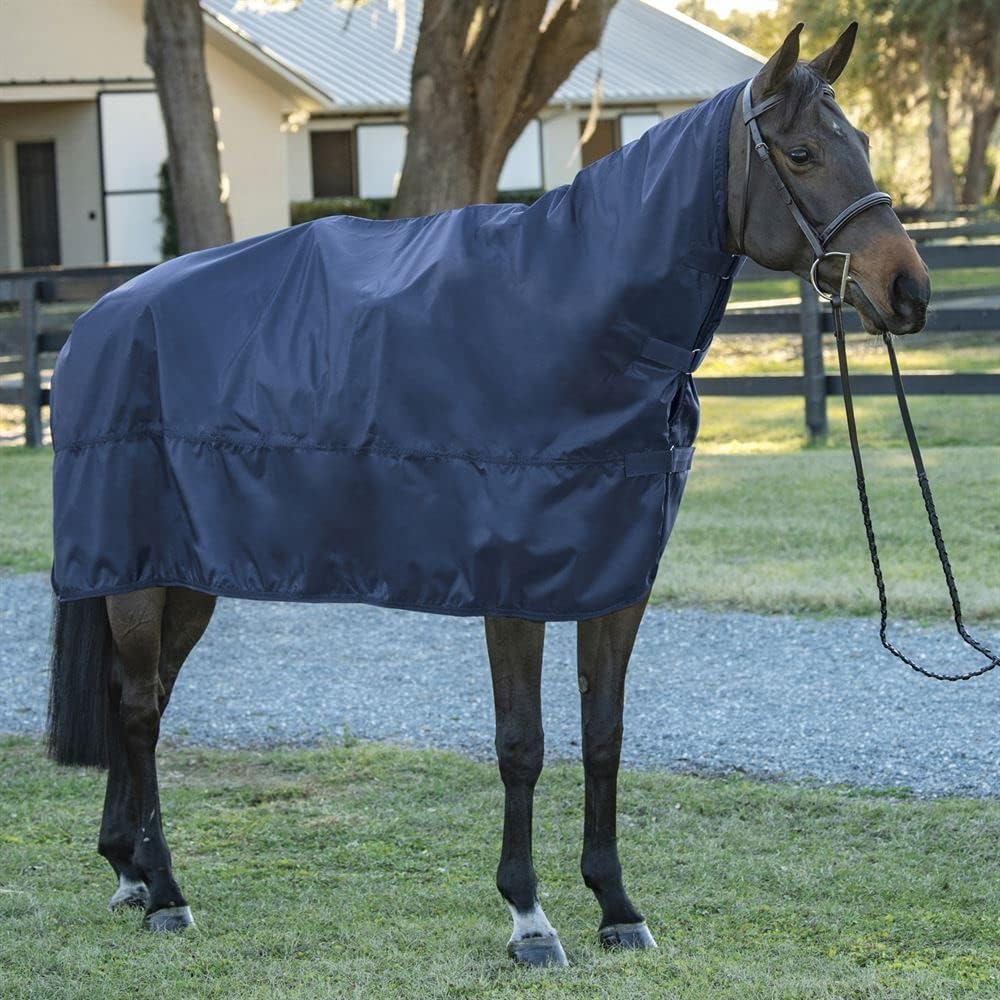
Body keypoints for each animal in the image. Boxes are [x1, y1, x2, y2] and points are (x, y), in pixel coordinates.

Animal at [46, 22, 929, 966]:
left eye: (861, 140)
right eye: (801, 153)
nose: (908, 290)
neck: (573, 311)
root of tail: (97, 319)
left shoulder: (614, 582)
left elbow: (604, 737)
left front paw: (617, 906)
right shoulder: (515, 586)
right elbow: (523, 745)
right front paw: (529, 918)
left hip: (182, 574)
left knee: (142, 698)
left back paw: (130, 872)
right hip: (137, 576)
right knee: (139, 710)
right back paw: (167, 892)